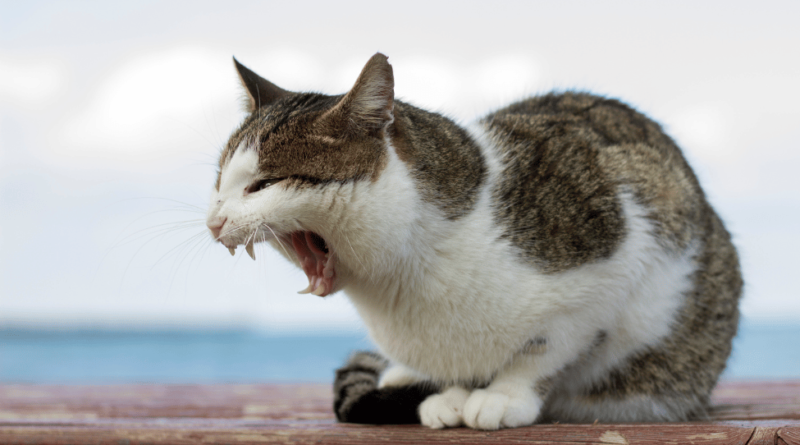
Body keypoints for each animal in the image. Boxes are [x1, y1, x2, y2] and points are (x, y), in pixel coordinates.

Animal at [208, 53, 744, 430]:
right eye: (219, 182)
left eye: (262, 185)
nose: (213, 221)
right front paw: (451, 393)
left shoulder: (617, 257)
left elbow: (546, 348)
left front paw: (503, 395)